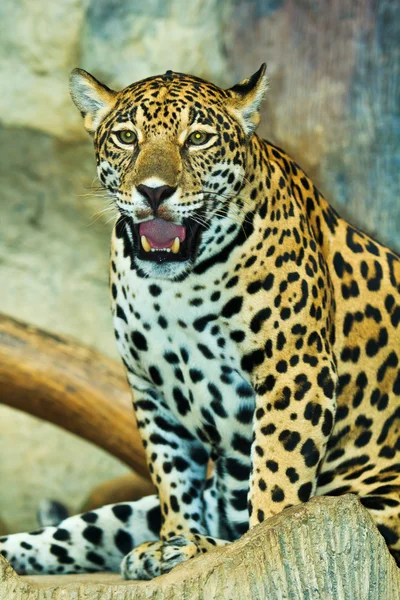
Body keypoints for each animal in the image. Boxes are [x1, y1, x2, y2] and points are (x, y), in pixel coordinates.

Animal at [0, 62, 400, 580]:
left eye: (198, 139)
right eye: (127, 137)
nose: (154, 192)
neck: (176, 289)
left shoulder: (295, 369)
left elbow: (278, 475)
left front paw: (242, 543)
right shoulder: (150, 389)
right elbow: (171, 477)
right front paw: (174, 537)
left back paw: (194, 548)